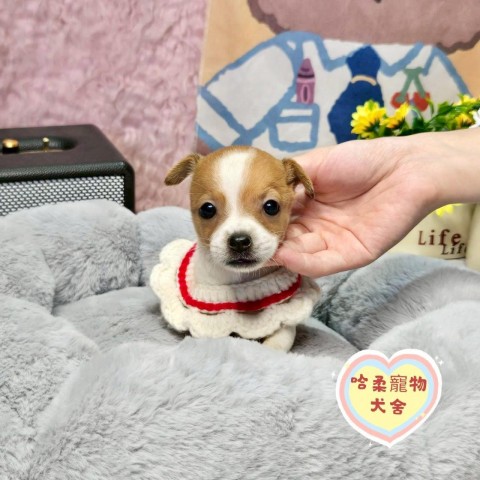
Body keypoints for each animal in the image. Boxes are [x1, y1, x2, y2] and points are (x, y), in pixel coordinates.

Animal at [150, 146, 320, 351]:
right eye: (207, 209)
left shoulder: (285, 310)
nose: (239, 241)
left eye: (271, 206)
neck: (240, 278)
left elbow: (283, 335)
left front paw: (270, 349)